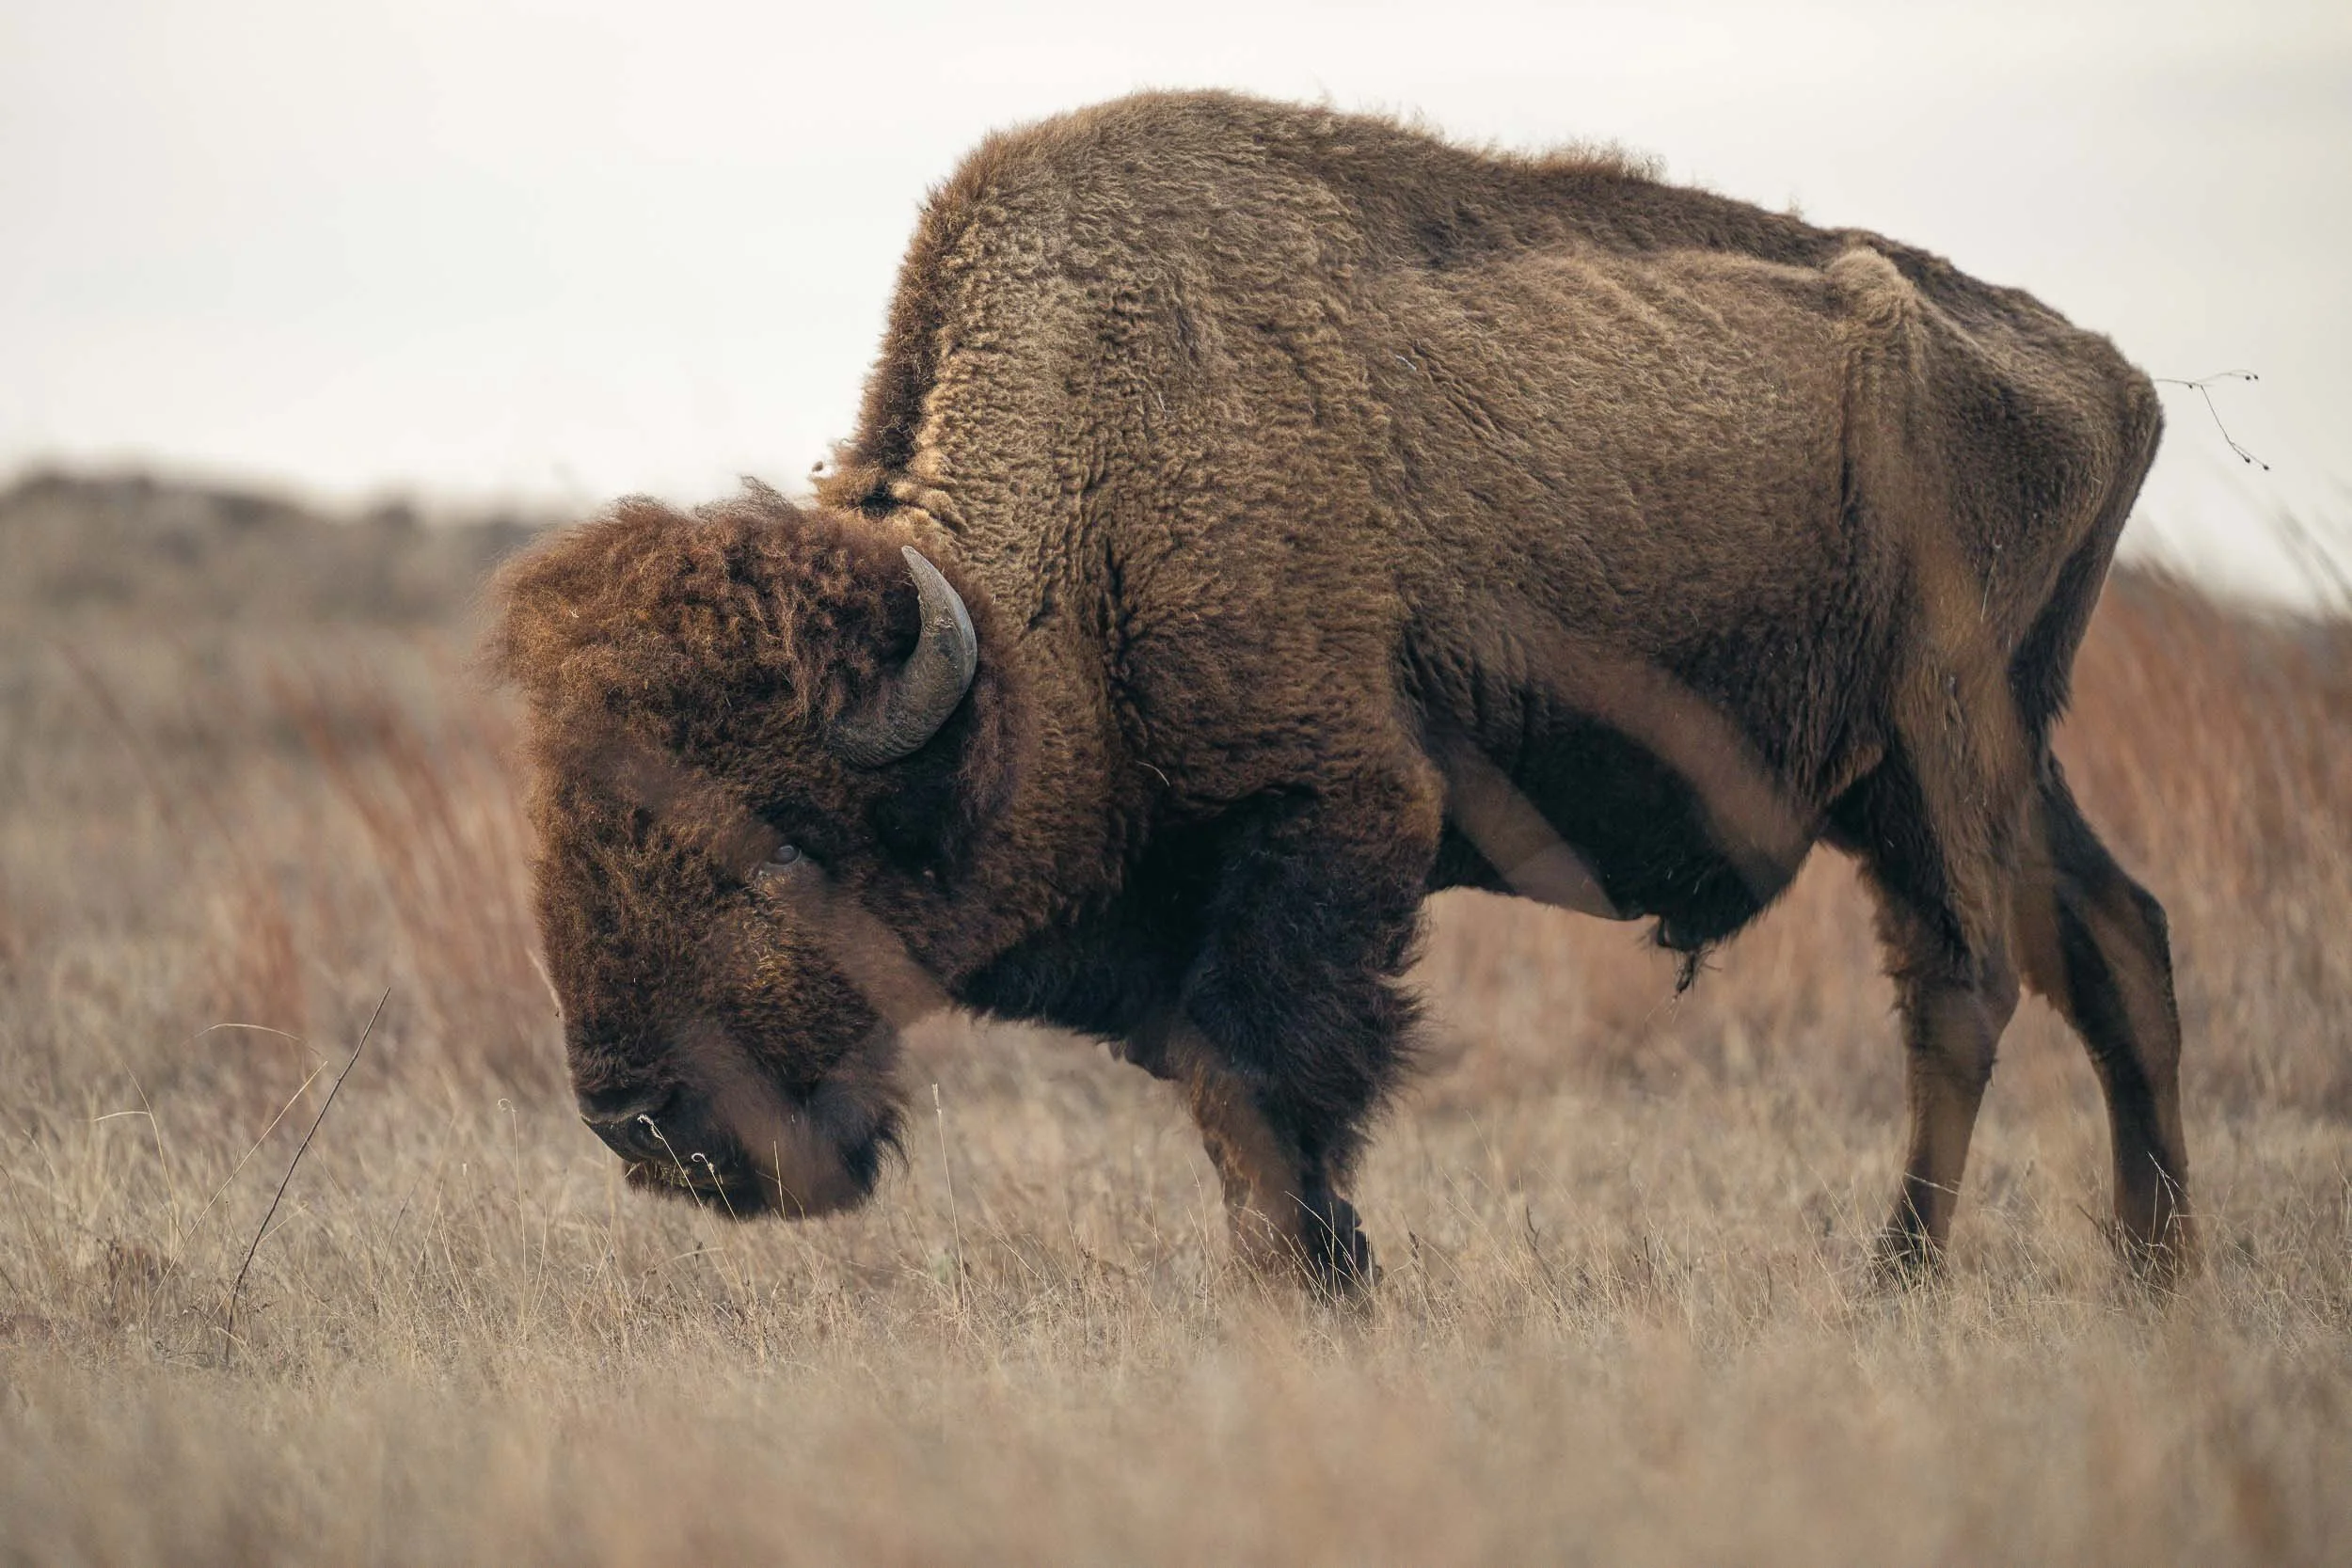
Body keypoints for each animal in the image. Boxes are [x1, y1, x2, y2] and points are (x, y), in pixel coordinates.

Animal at [493, 91, 2189, 1290]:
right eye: (562, 844)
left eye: (784, 846)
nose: (635, 1118)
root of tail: (2108, 371)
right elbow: (1227, 1098)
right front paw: (1333, 1272)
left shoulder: (1332, 812)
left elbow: (1267, 1077)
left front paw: (1313, 1287)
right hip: (1985, 760)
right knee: (2118, 942)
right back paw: (2151, 1265)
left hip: (1939, 746)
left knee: (1962, 983)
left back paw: (1897, 1278)